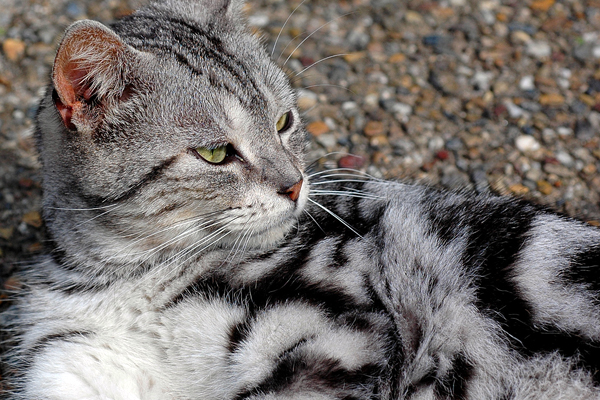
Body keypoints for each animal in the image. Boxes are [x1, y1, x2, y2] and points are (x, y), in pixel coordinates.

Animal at [3, 0, 600, 398]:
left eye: (283, 122)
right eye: (216, 153)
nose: (294, 183)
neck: (134, 277)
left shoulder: (337, 340)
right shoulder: (71, 361)